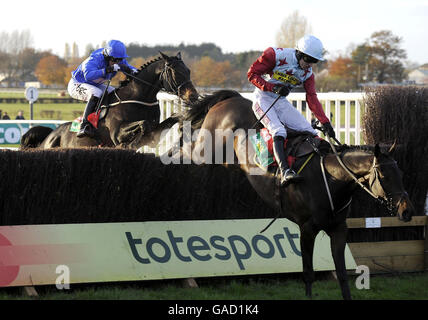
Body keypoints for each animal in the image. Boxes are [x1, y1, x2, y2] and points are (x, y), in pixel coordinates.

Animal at [20, 52, 198, 150]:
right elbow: (143, 124)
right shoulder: (116, 134)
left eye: (188, 71)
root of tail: (49, 136)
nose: (193, 96)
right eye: (176, 72)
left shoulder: (154, 135)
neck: (137, 98)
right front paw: (130, 143)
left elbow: (171, 118)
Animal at [171, 90, 414, 300]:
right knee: (186, 152)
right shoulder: (307, 228)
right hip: (205, 150)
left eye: (401, 173)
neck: (330, 179)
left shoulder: (338, 229)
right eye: (383, 175)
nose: (407, 210)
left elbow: (343, 275)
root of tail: (232, 98)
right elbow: (308, 273)